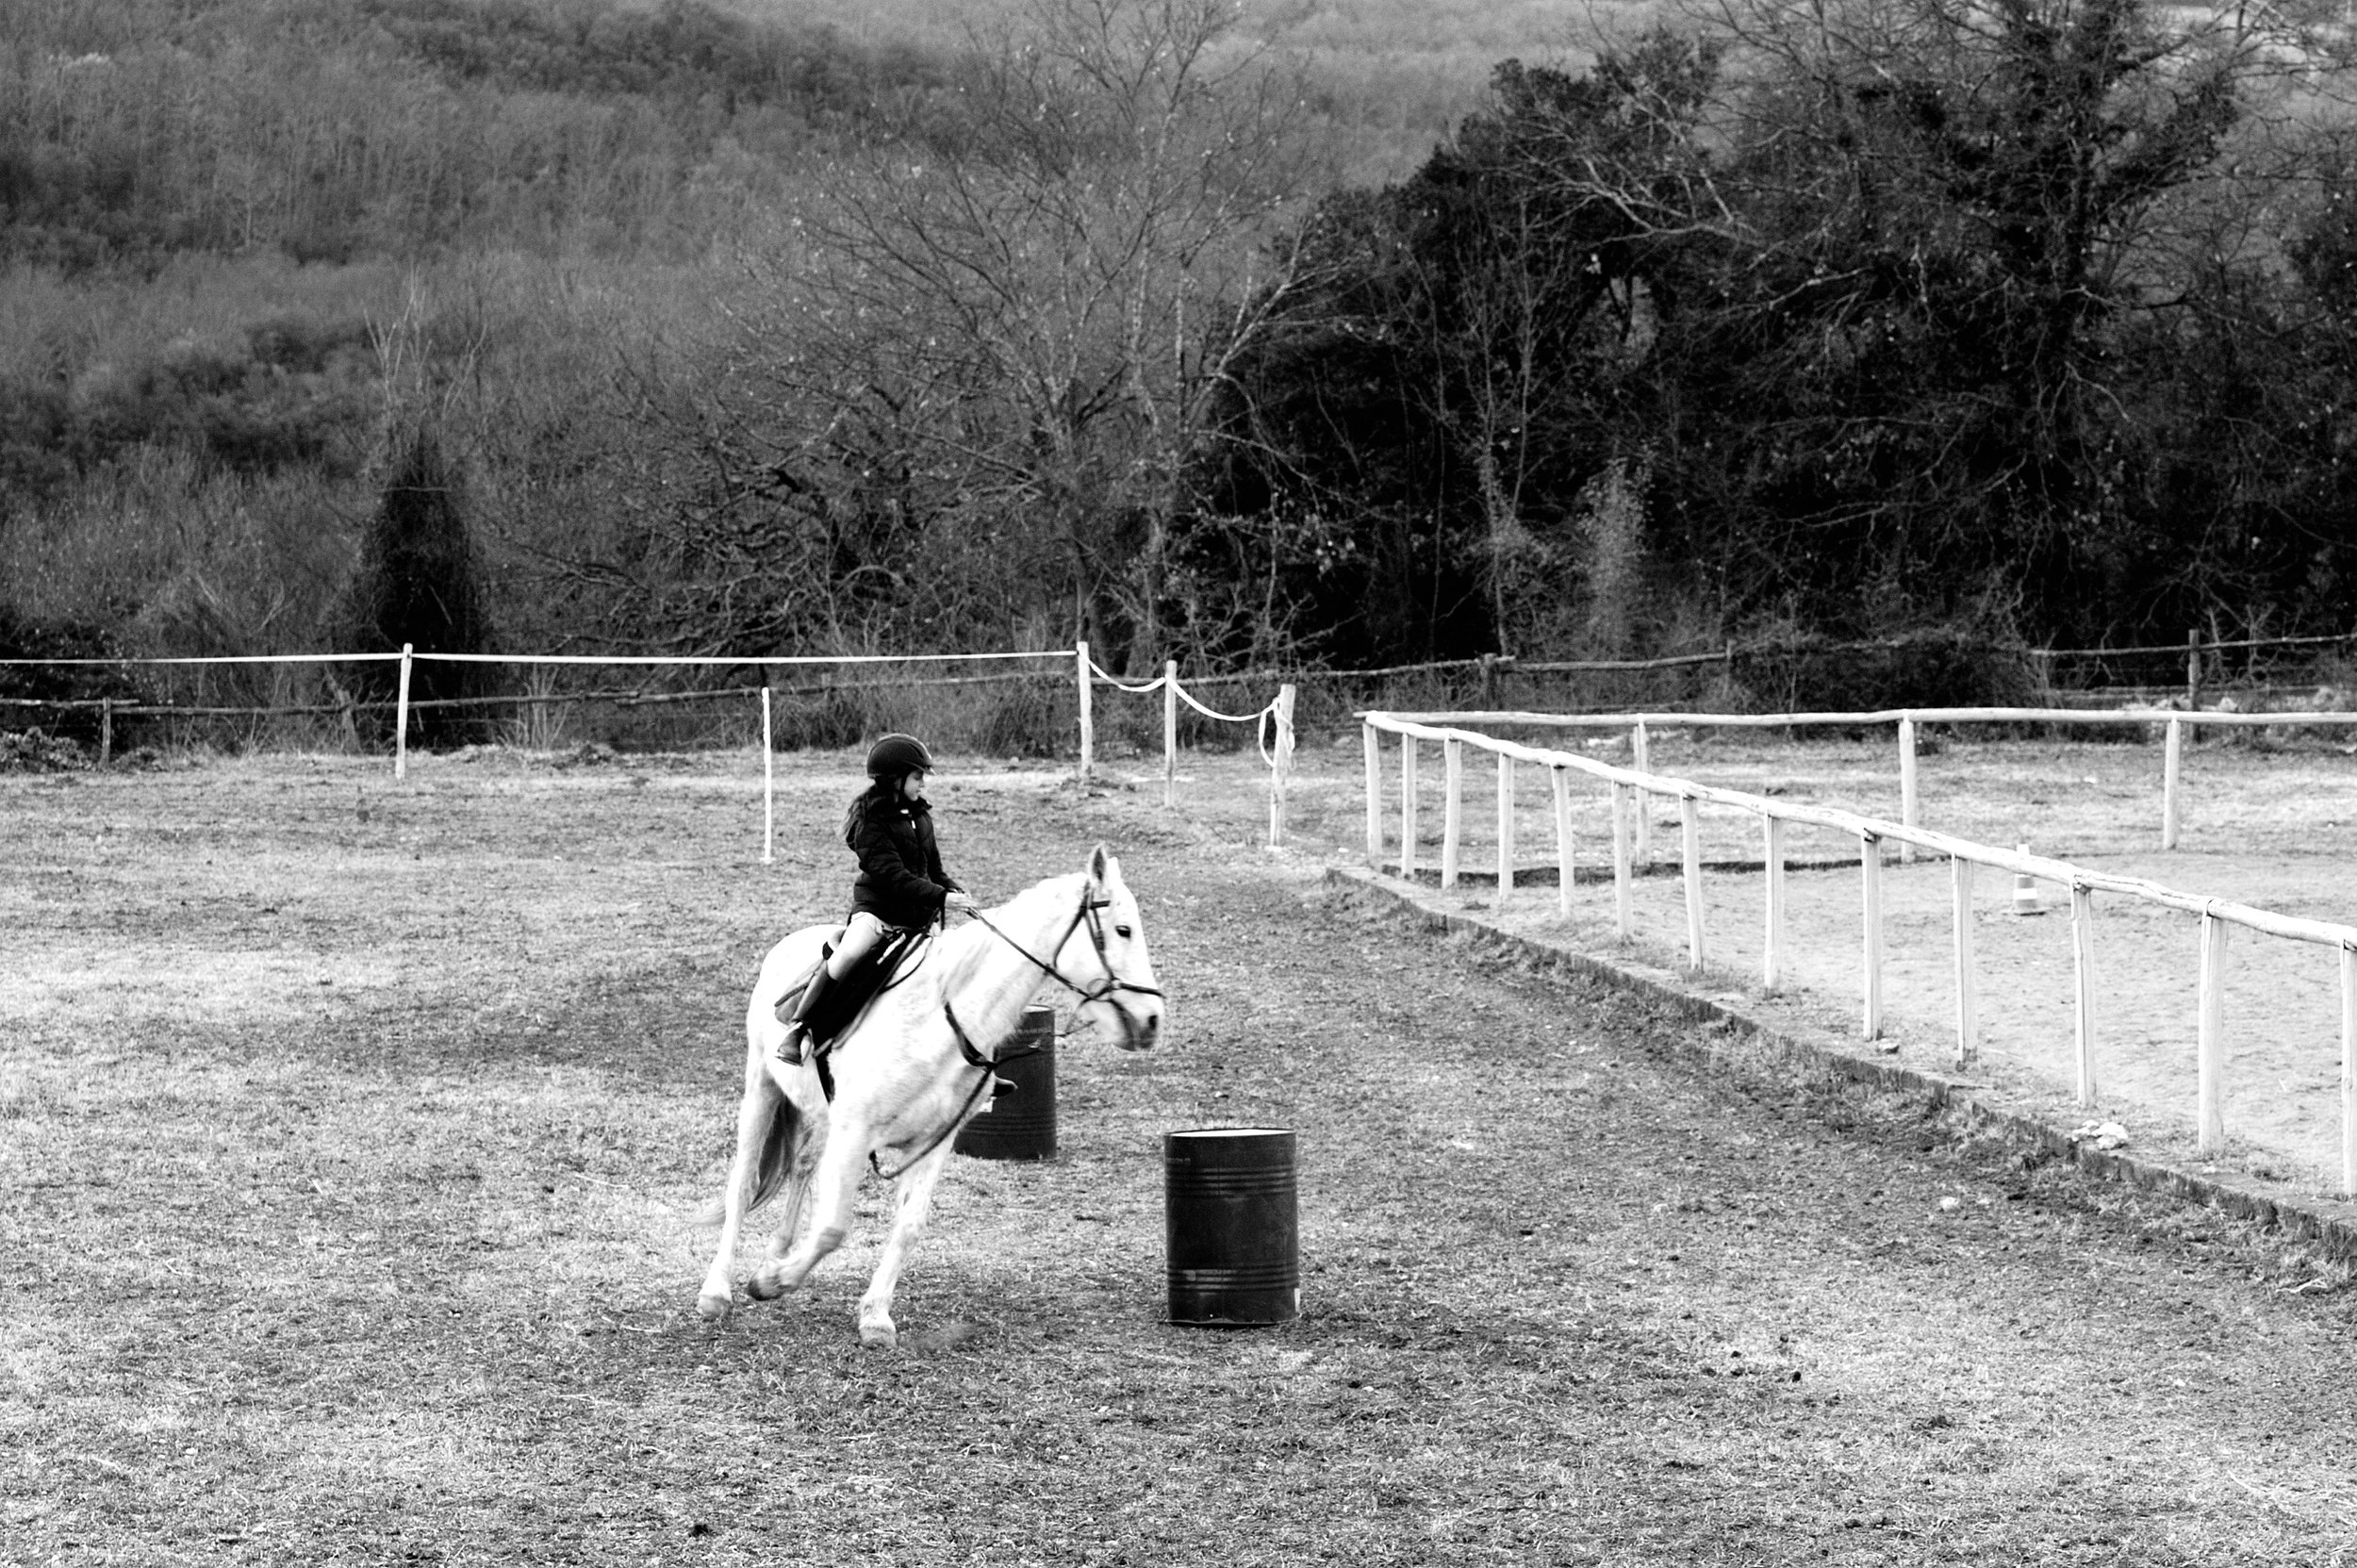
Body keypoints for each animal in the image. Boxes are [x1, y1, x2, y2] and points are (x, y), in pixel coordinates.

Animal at [694, 844, 1164, 1346]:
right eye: (1123, 929)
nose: (1151, 1020)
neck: (945, 1018)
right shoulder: (856, 1133)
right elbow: (833, 1227)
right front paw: (772, 1282)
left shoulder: (932, 1142)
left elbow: (909, 1225)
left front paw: (874, 1315)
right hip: (762, 1088)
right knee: (743, 1185)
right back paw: (717, 1290)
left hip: (820, 1114)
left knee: (800, 1168)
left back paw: (777, 1253)